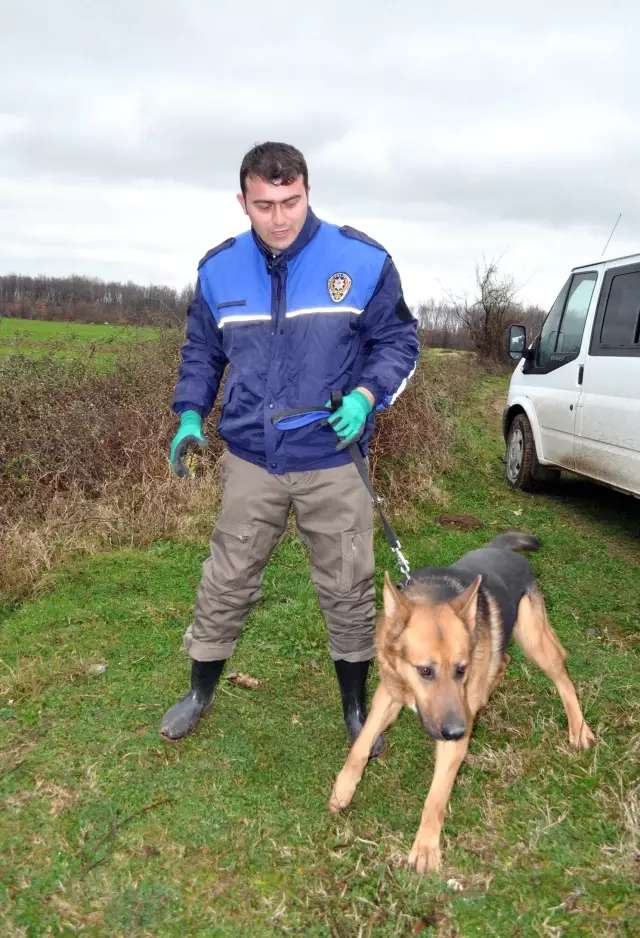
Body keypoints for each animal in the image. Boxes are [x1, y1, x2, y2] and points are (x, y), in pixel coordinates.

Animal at [330, 532, 596, 872]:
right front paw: (344, 788)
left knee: (563, 678)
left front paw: (426, 848)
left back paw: (579, 728)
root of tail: (501, 549)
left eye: (460, 669)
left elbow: (436, 796)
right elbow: (362, 743)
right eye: (425, 671)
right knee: (504, 660)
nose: (458, 731)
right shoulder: (388, 695)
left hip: (535, 642)